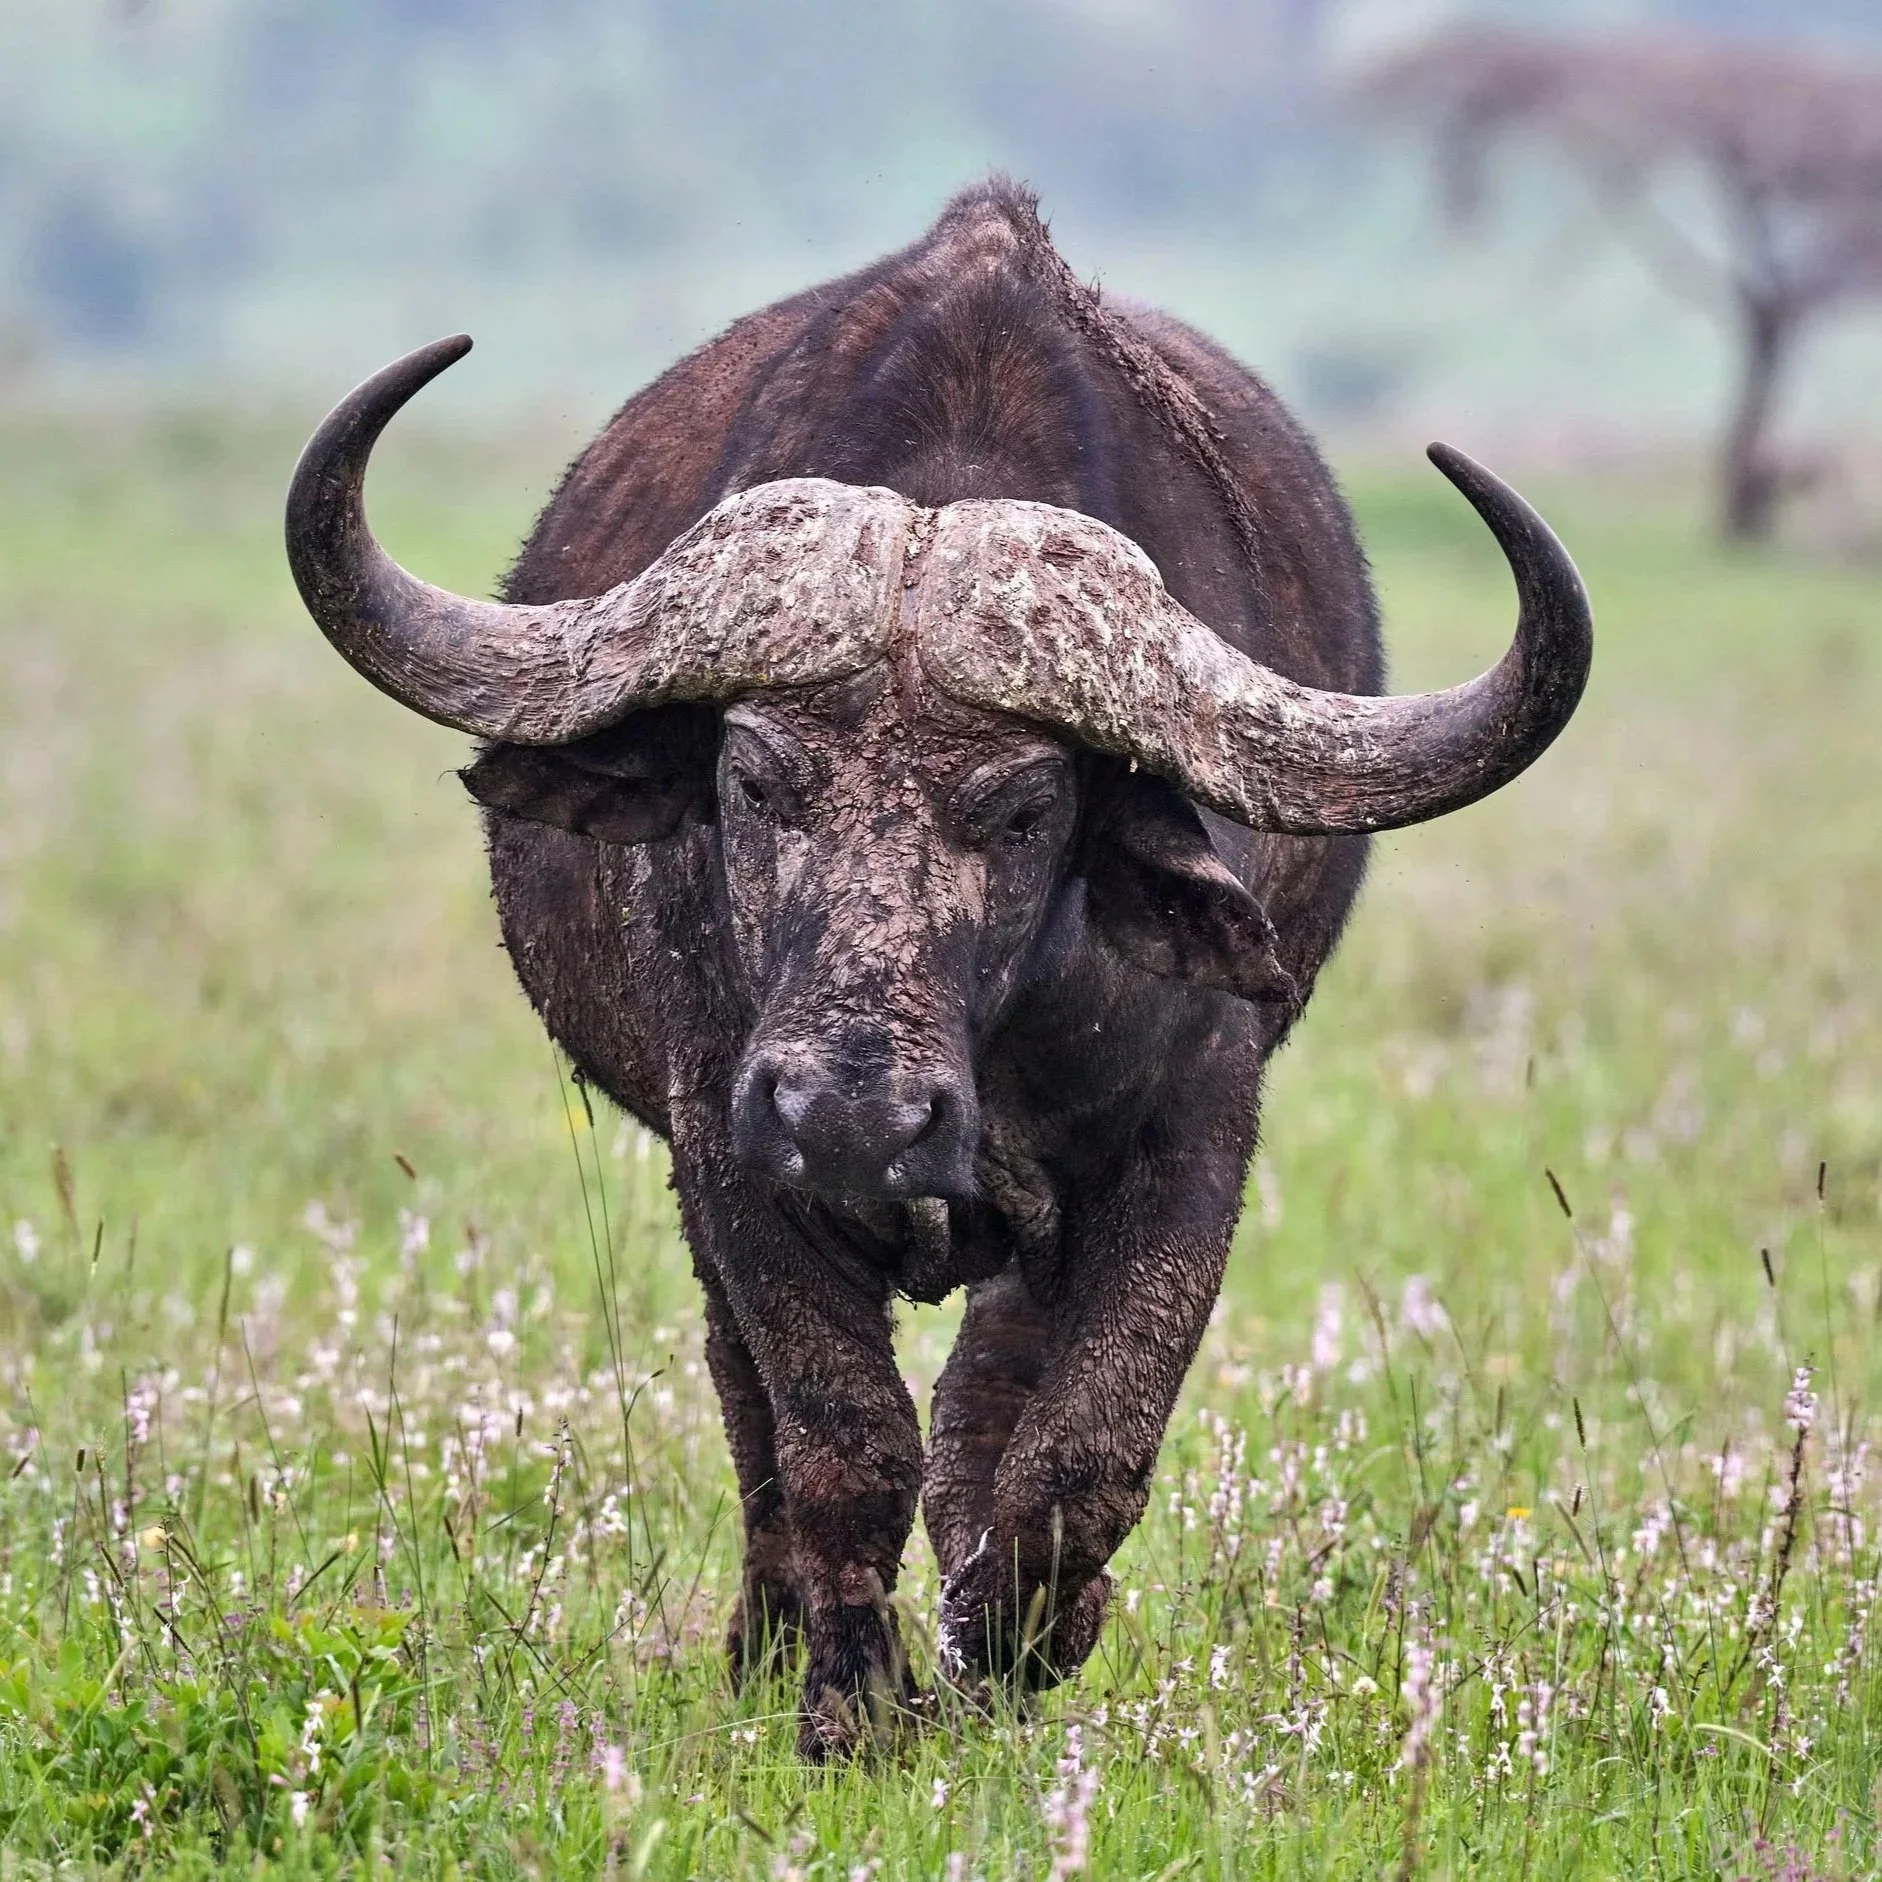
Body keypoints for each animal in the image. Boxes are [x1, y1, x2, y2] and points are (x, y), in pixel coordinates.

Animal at [286, 180, 1590, 1757]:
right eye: (754, 780)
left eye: (1024, 808)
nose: (854, 1113)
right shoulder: (728, 1145)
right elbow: (839, 1436)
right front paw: (848, 1704)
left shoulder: (1190, 1137)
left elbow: (1078, 1451)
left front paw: (1009, 1662)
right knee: (757, 1418)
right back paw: (771, 1641)